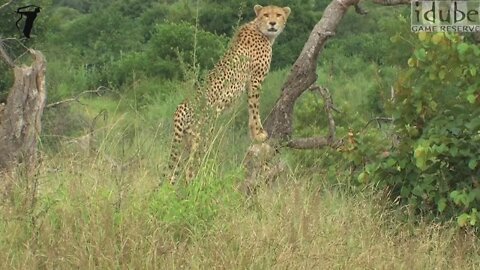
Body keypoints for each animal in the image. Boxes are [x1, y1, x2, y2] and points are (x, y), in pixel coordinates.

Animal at [167, 4, 290, 184]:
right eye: (267, 14)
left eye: (279, 14)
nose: (272, 23)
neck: (260, 30)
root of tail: (181, 106)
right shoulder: (255, 80)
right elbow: (254, 108)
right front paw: (259, 134)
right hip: (202, 134)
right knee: (191, 168)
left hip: (184, 140)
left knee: (175, 172)